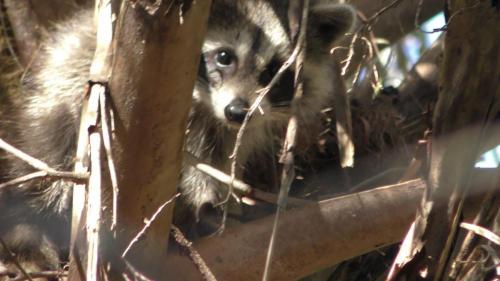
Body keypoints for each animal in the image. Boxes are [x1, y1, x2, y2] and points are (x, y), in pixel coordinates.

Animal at [0, 0, 356, 276]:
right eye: (225, 56)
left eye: (274, 72)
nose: (237, 111)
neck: (206, 104)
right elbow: (196, 163)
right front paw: (208, 201)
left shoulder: (227, 128)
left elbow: (217, 156)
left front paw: (220, 200)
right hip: (63, 97)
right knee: (55, 162)